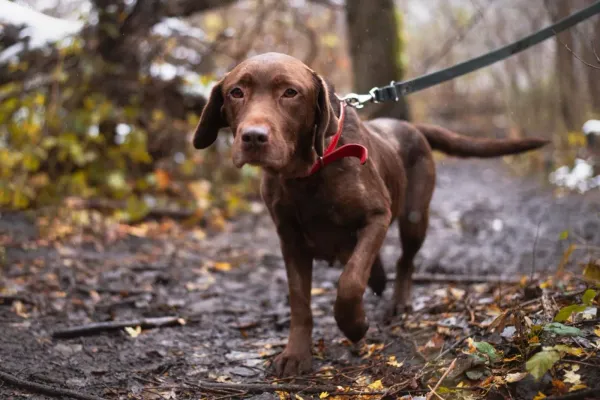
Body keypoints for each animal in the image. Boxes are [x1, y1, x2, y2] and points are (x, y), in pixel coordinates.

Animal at [192, 53, 548, 378]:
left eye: (290, 92)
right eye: (237, 92)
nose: (253, 137)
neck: (308, 172)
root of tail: (411, 126)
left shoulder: (376, 216)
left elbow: (350, 281)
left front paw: (355, 325)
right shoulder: (290, 239)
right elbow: (300, 301)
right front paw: (295, 354)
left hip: (414, 217)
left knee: (405, 261)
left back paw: (398, 301)